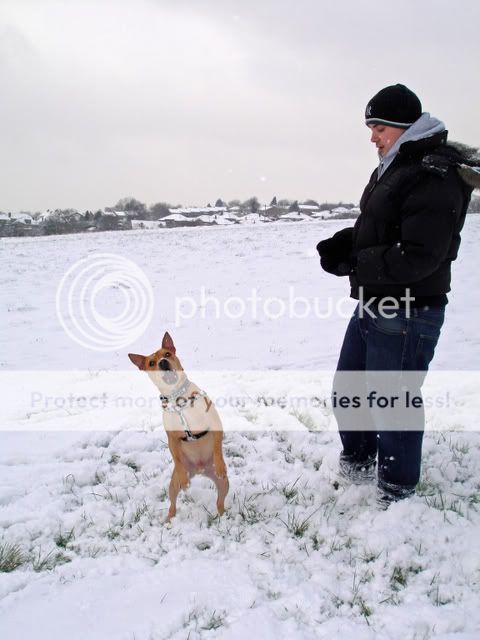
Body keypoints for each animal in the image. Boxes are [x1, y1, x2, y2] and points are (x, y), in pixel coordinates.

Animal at [128, 332, 228, 524]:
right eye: (151, 363)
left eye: (167, 354)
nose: (162, 363)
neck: (177, 396)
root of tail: (200, 469)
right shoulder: (172, 438)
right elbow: (176, 458)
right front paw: (183, 477)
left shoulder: (215, 423)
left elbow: (218, 447)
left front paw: (220, 465)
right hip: (173, 485)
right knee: (172, 503)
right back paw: (169, 520)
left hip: (224, 483)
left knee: (220, 501)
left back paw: (222, 517)